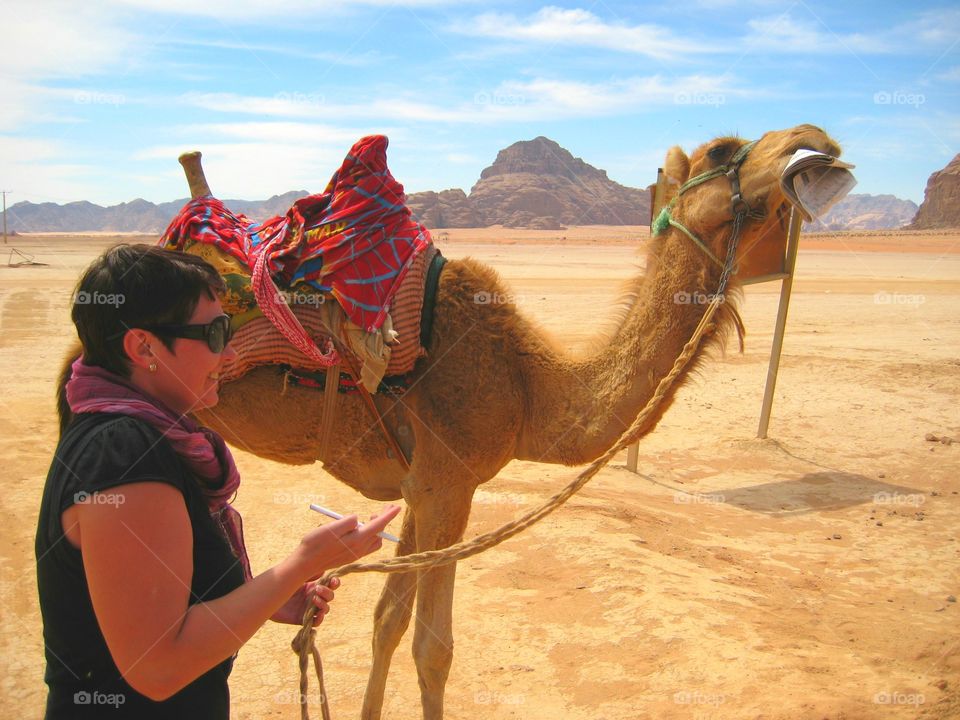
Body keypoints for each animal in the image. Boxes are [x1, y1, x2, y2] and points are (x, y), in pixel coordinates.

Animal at [58, 124, 842, 719]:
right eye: (723, 150)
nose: (817, 139)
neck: (529, 388)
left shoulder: (424, 485)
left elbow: (387, 622)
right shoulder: (450, 482)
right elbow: (432, 645)